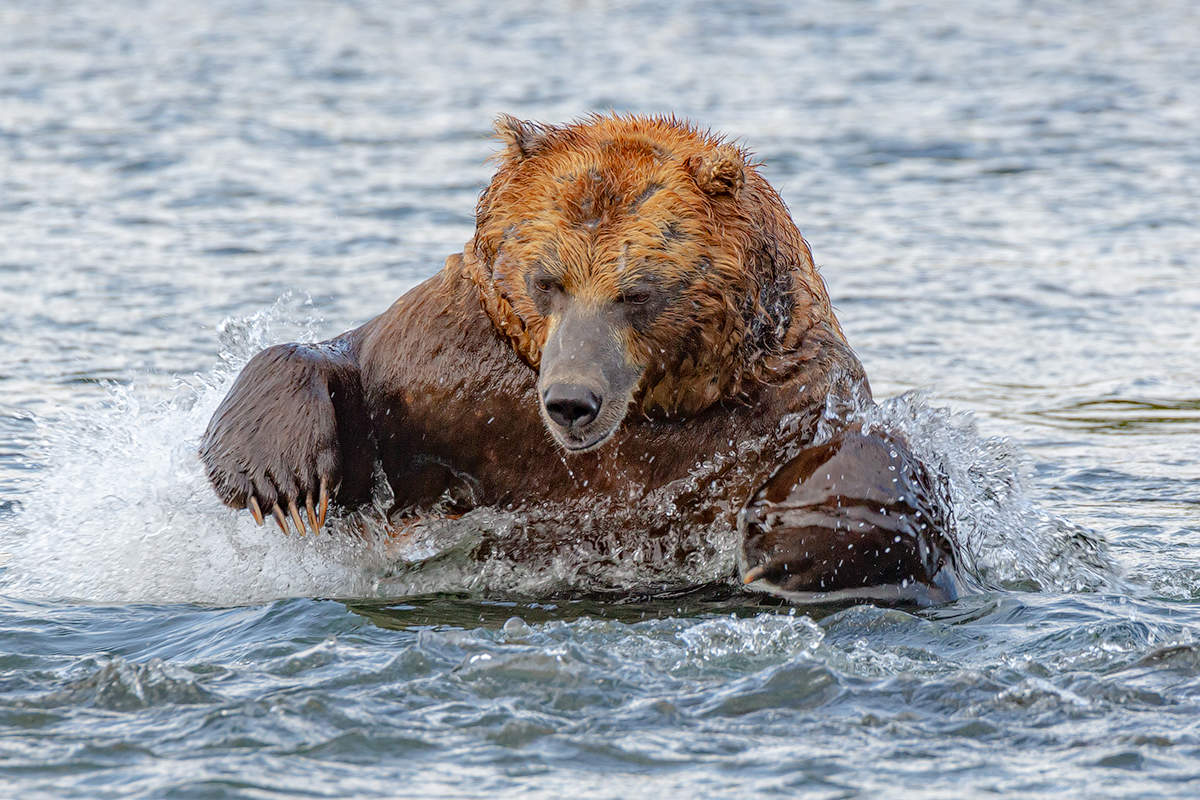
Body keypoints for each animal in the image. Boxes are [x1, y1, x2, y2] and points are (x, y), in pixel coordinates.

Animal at [201, 110, 960, 599]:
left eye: (638, 291)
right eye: (547, 280)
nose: (571, 400)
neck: (656, 406)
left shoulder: (777, 405)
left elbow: (885, 469)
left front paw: (790, 540)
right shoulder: (451, 373)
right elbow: (347, 390)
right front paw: (283, 479)